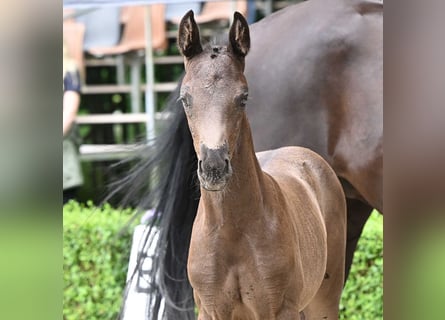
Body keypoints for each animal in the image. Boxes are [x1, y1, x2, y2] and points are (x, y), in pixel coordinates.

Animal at [175, 11, 346, 318]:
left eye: (243, 97)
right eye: (185, 98)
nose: (214, 167)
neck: (232, 231)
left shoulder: (279, 309)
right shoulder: (210, 310)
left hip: (323, 299)